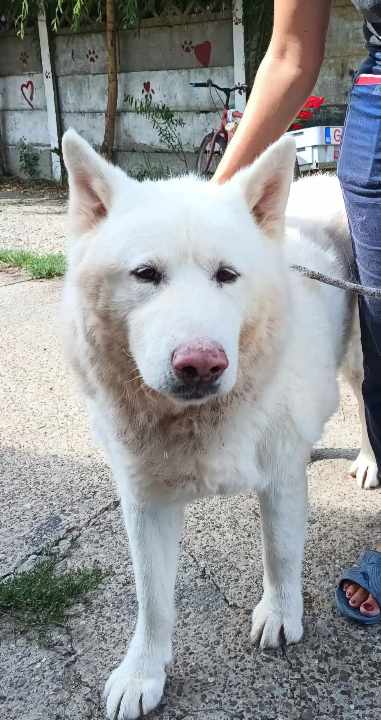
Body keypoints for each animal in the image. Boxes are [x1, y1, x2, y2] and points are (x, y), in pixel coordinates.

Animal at [62, 131, 378, 720]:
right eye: (146, 274)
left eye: (227, 275)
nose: (201, 364)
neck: (198, 420)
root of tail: (322, 180)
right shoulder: (145, 501)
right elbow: (153, 600)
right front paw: (142, 673)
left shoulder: (279, 479)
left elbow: (280, 553)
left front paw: (280, 614)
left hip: (361, 358)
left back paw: (370, 462)